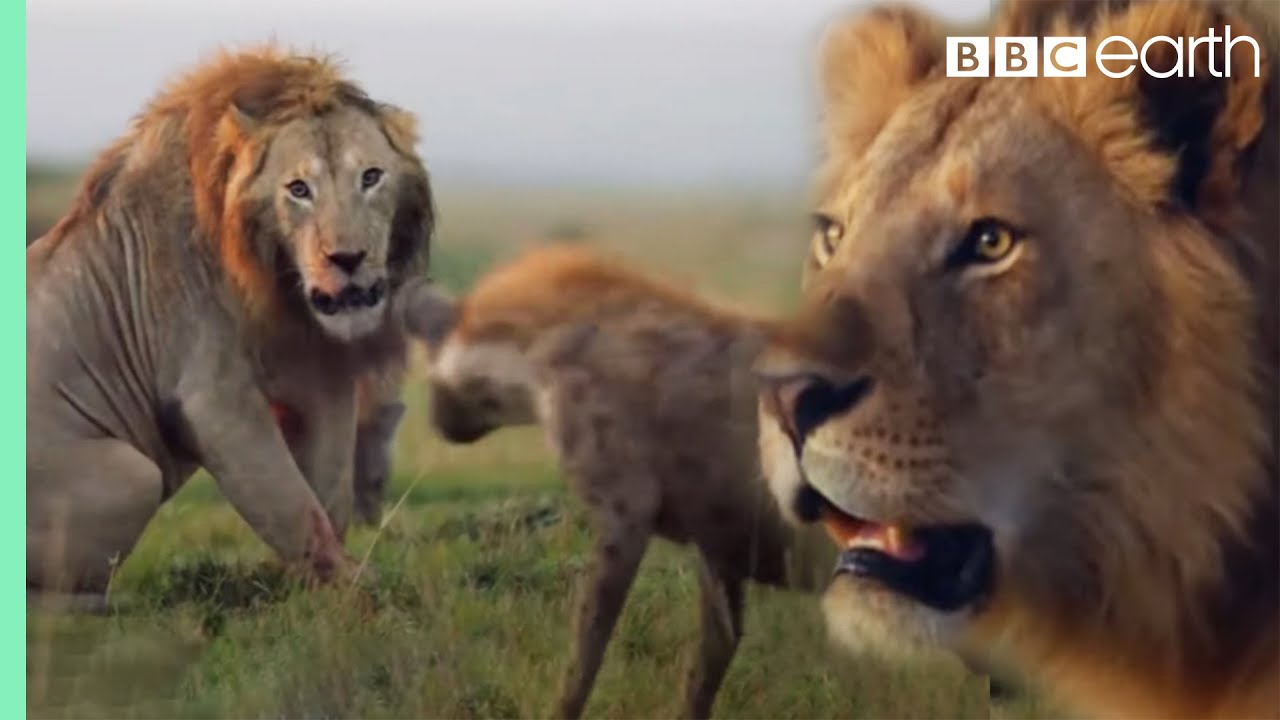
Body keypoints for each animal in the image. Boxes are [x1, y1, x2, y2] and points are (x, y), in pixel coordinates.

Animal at [23, 46, 435, 604]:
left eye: (370, 177)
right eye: (299, 189)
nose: (346, 259)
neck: (280, 285)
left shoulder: (321, 376)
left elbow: (328, 494)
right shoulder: (212, 394)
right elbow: (290, 503)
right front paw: (358, 586)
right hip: (131, 474)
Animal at [404, 244, 824, 717]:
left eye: (429, 374)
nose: (436, 422)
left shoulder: (628, 509)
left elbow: (586, 650)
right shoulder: (720, 540)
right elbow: (711, 656)